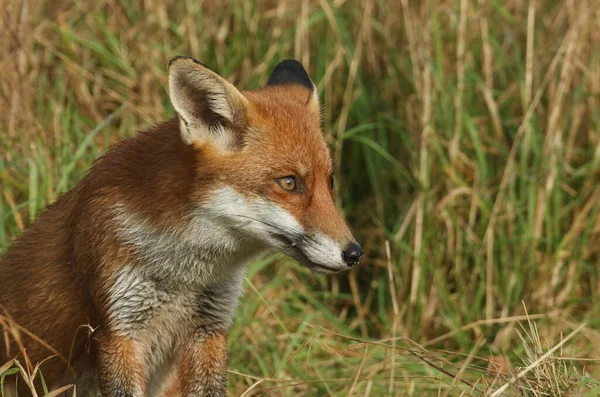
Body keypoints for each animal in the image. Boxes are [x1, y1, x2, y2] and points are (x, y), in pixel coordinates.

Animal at [0, 56, 360, 396]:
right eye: (288, 183)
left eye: (329, 182)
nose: (355, 253)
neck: (185, 275)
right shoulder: (120, 332)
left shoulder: (209, 329)